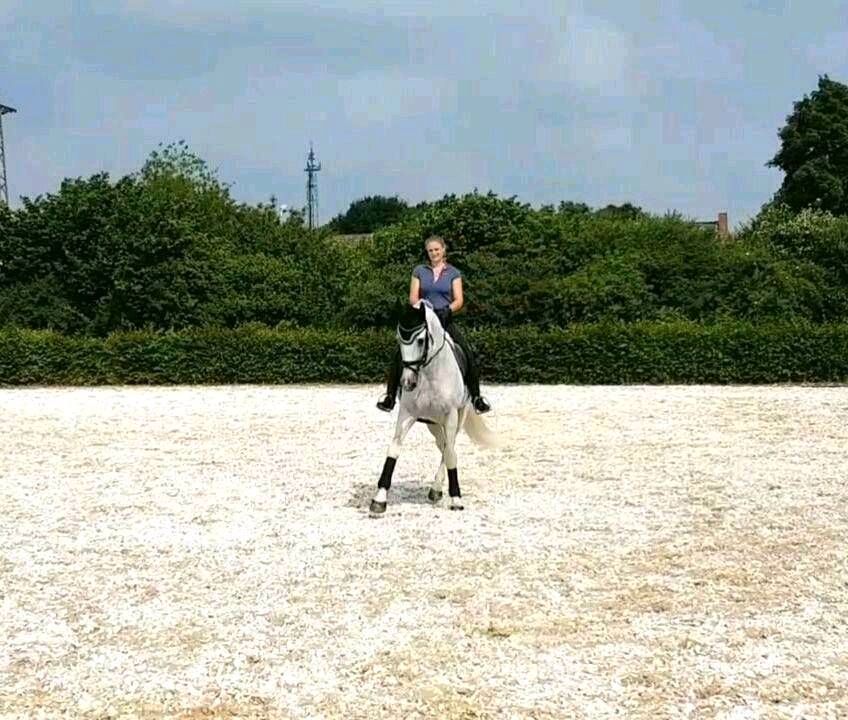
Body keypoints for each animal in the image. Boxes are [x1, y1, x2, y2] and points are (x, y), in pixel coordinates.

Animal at [370, 300, 496, 516]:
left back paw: (437, 488)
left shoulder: (451, 415)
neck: (429, 374)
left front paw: (456, 499)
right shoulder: (407, 414)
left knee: (449, 447)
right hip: (433, 423)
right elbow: (394, 449)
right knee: (443, 444)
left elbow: (451, 454)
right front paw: (380, 498)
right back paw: (436, 489)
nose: (407, 382)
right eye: (399, 339)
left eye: (421, 340)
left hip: (459, 416)